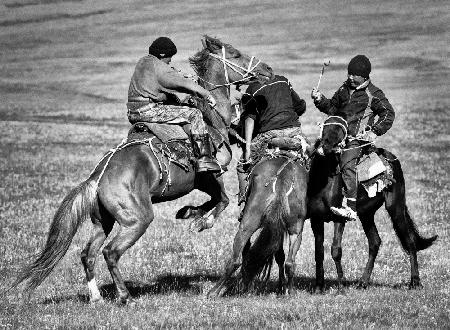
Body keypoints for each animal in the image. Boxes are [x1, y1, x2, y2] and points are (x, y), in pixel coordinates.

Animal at [8, 35, 272, 304]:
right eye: (236, 54)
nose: (267, 69)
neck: (212, 119)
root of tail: (97, 178)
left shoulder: (201, 182)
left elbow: (216, 200)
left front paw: (188, 212)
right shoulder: (210, 175)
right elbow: (223, 200)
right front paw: (199, 222)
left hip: (103, 221)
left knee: (87, 253)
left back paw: (96, 297)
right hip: (138, 220)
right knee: (111, 252)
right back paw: (126, 296)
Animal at [208, 149, 310, 296]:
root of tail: (282, 178)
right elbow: (280, 256)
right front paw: (281, 287)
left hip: (247, 224)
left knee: (236, 259)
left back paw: (214, 291)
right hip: (295, 230)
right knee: (290, 263)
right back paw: (290, 291)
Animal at [308, 115, 438, 292]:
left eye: (342, 130)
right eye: (325, 127)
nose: (327, 146)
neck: (324, 182)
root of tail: (390, 157)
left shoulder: (339, 219)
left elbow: (336, 250)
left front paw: (341, 285)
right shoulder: (316, 220)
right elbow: (318, 252)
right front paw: (318, 286)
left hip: (395, 207)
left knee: (409, 241)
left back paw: (415, 282)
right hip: (366, 214)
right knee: (375, 242)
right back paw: (363, 282)